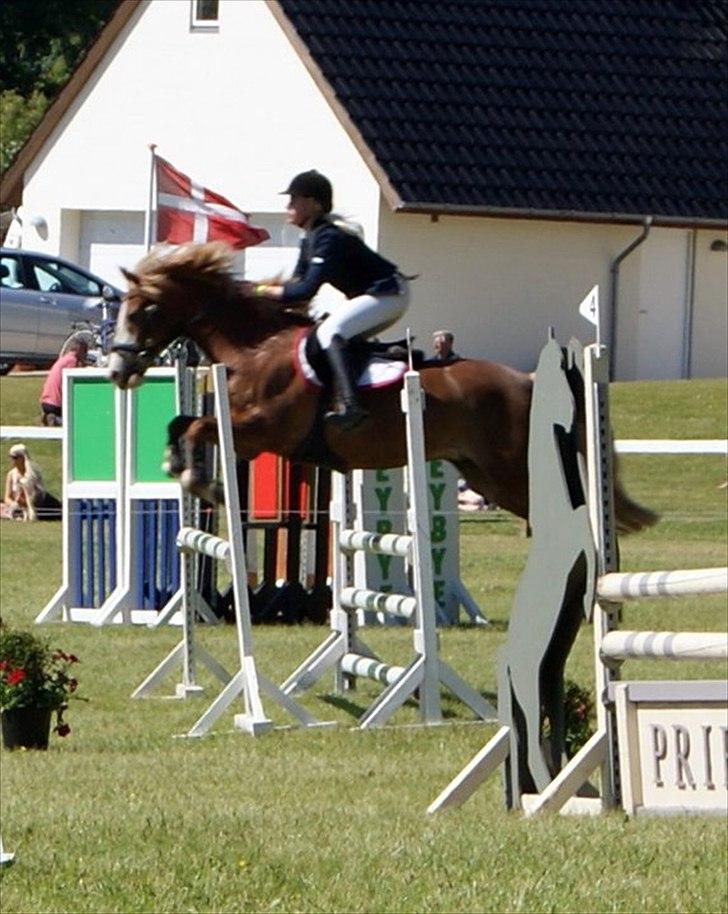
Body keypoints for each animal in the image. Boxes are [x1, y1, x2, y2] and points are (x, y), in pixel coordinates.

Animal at [108, 241, 657, 534]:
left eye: (142, 311)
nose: (117, 370)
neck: (254, 348)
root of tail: (527, 379)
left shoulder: (261, 432)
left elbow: (198, 426)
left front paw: (201, 481)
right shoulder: (242, 426)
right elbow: (182, 422)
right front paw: (176, 466)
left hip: (510, 468)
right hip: (485, 475)